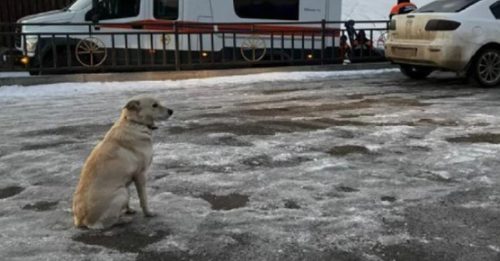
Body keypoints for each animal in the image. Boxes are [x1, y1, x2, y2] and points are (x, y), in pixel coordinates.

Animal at [71, 95, 174, 228]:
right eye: (154, 105)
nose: (171, 111)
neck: (134, 123)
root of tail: (81, 220)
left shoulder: (128, 178)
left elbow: (130, 200)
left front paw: (128, 210)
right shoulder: (140, 175)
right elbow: (143, 199)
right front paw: (148, 213)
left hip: (123, 190)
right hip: (121, 193)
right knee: (106, 223)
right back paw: (123, 220)